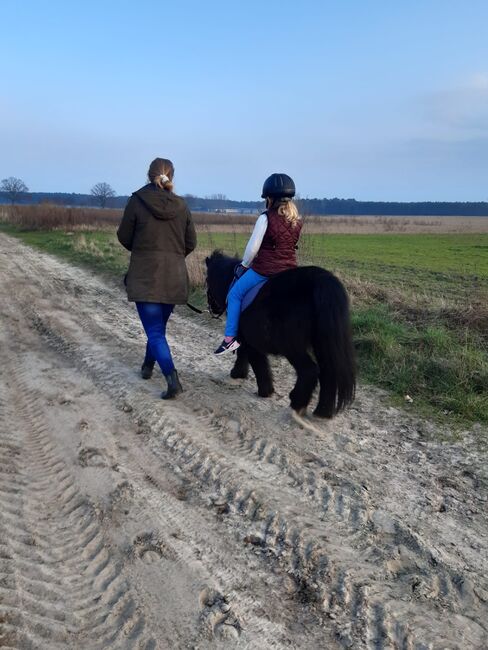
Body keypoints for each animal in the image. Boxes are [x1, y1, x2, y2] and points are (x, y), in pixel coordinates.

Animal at [204, 251, 356, 418]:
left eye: (206, 280)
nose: (212, 308)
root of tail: (320, 280)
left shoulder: (250, 341)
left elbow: (257, 362)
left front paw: (264, 390)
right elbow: (246, 356)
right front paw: (240, 374)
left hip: (292, 346)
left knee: (309, 371)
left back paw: (297, 402)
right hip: (321, 343)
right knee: (328, 373)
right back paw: (323, 412)